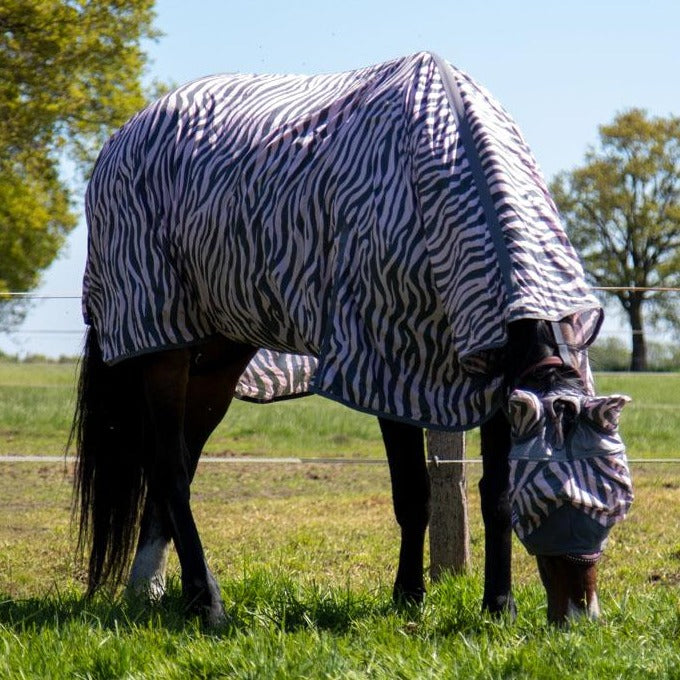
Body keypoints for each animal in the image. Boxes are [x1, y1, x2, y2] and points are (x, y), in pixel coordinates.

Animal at [71, 52, 632, 625]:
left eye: (615, 497)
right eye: (549, 501)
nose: (583, 617)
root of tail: (122, 136)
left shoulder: (494, 381)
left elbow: (494, 496)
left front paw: (499, 605)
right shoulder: (390, 367)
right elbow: (414, 495)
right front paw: (409, 595)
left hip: (220, 357)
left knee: (178, 463)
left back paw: (155, 588)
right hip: (163, 345)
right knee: (170, 467)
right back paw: (205, 601)